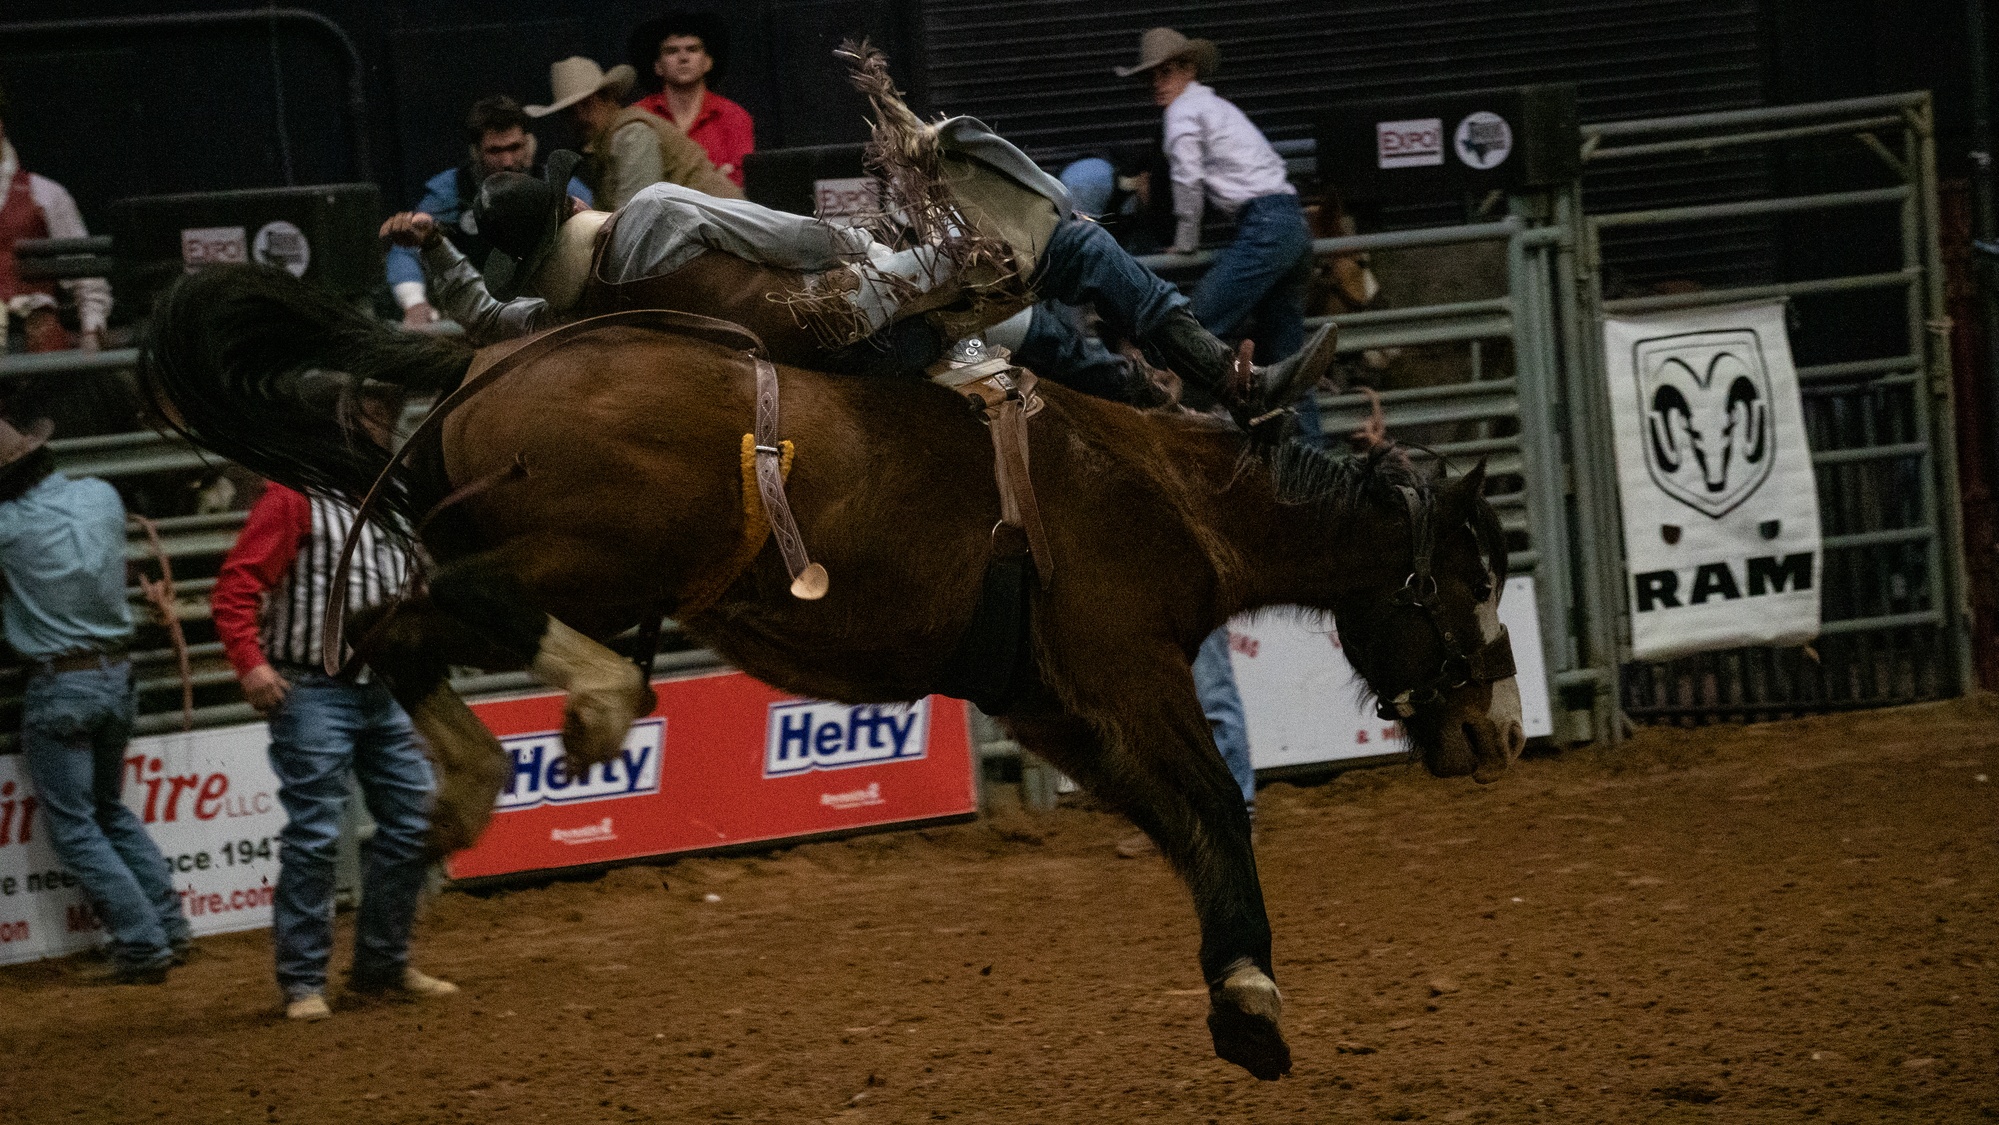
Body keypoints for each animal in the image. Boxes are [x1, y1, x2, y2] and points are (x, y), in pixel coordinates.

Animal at [140, 263, 1527, 1079]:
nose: (1502, 729)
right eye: (1470, 573)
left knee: (397, 636)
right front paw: (1251, 1002)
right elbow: (1219, 813)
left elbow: (1184, 829)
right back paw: (577, 716)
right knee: (452, 618)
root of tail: (481, 361)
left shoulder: (1055, 709)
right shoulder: (1131, 672)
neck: (1168, 489)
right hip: (594, 555)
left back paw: (480, 786)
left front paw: (1237, 1002)